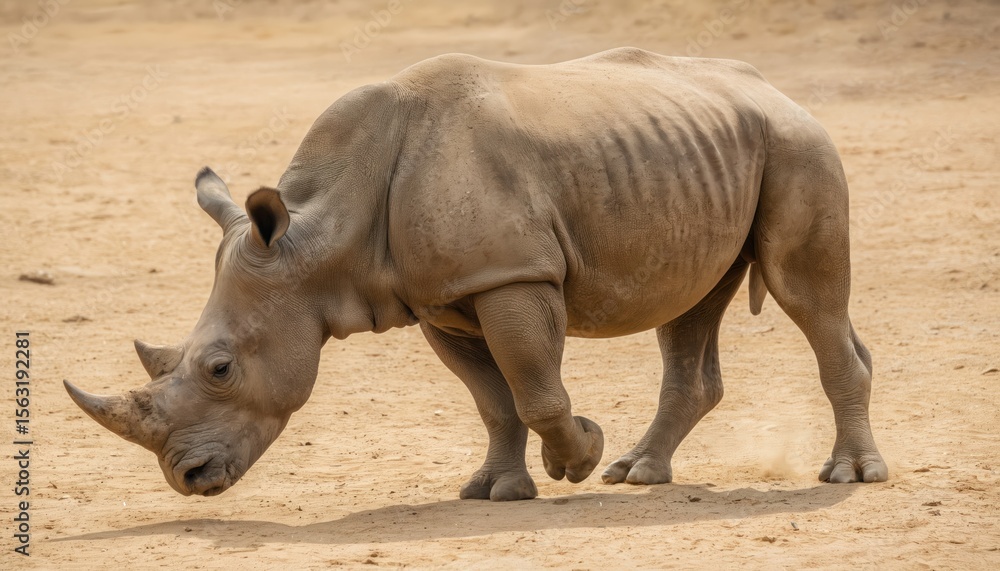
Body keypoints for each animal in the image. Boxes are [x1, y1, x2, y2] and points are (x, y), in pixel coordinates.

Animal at [65, 48, 887, 501]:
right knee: (688, 309)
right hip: (705, 150)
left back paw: (850, 476)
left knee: (804, 294)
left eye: (220, 367)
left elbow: (535, 388)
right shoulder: (440, 297)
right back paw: (638, 473)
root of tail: (778, 90)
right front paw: (498, 490)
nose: (187, 478)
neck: (318, 233)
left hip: (798, 145)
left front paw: (577, 455)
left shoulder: (509, 274)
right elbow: (493, 400)